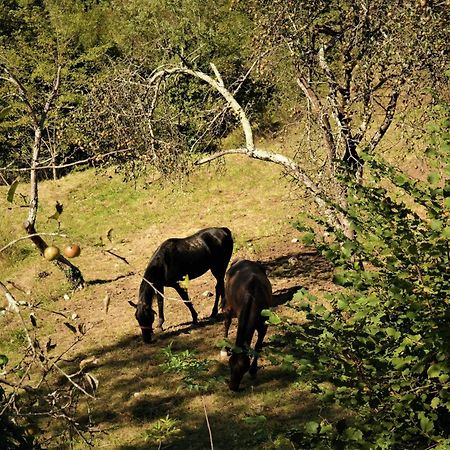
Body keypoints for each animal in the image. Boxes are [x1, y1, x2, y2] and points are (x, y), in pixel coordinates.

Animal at [223, 258, 272, 392]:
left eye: (244, 367)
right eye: (230, 364)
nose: (232, 387)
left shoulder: (263, 326)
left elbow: (258, 346)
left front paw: (253, 371)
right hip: (228, 304)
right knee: (227, 322)